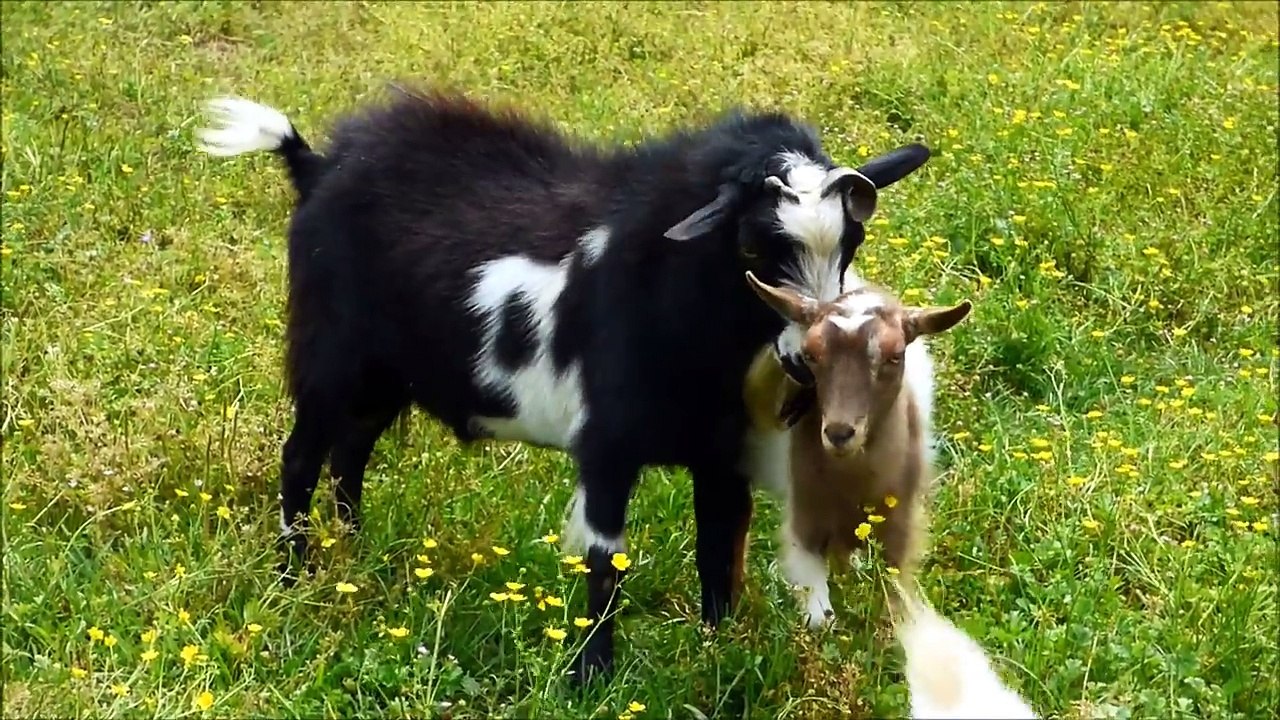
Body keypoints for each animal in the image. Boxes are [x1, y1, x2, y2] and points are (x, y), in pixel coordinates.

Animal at [193, 85, 931, 681]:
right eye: (752, 247)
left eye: (851, 246)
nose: (809, 363)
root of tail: (317, 167)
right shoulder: (605, 446)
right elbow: (607, 561)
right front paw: (593, 676)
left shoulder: (721, 456)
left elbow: (718, 547)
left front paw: (716, 647)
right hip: (330, 358)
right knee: (302, 456)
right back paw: (294, 575)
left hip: (384, 375)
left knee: (352, 450)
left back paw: (355, 556)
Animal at [742, 271, 970, 629]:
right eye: (810, 354)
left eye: (895, 355)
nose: (839, 433)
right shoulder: (804, 523)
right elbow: (818, 615)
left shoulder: (901, 531)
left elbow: (895, 606)